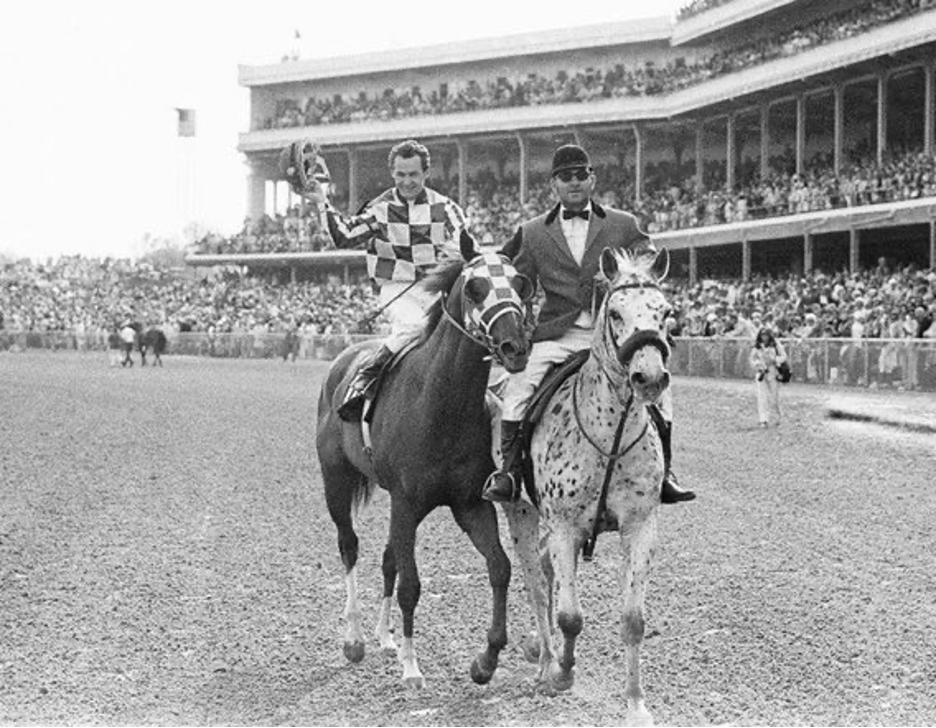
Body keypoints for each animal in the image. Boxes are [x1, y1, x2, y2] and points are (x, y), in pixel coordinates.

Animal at [316, 239, 532, 688]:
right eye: (476, 288)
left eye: (520, 282)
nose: (515, 347)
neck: (441, 405)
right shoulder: (407, 501)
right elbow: (411, 585)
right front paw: (412, 667)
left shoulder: (470, 502)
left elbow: (500, 567)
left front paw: (486, 660)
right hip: (336, 481)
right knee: (349, 546)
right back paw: (355, 638)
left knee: (387, 558)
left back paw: (384, 637)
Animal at [498, 249, 672, 724]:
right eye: (615, 313)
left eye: (666, 313)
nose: (650, 377)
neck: (609, 435)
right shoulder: (565, 528)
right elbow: (570, 617)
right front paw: (563, 675)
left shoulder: (640, 526)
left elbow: (633, 620)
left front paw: (636, 704)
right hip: (520, 513)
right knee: (537, 584)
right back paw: (544, 661)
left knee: (544, 570)